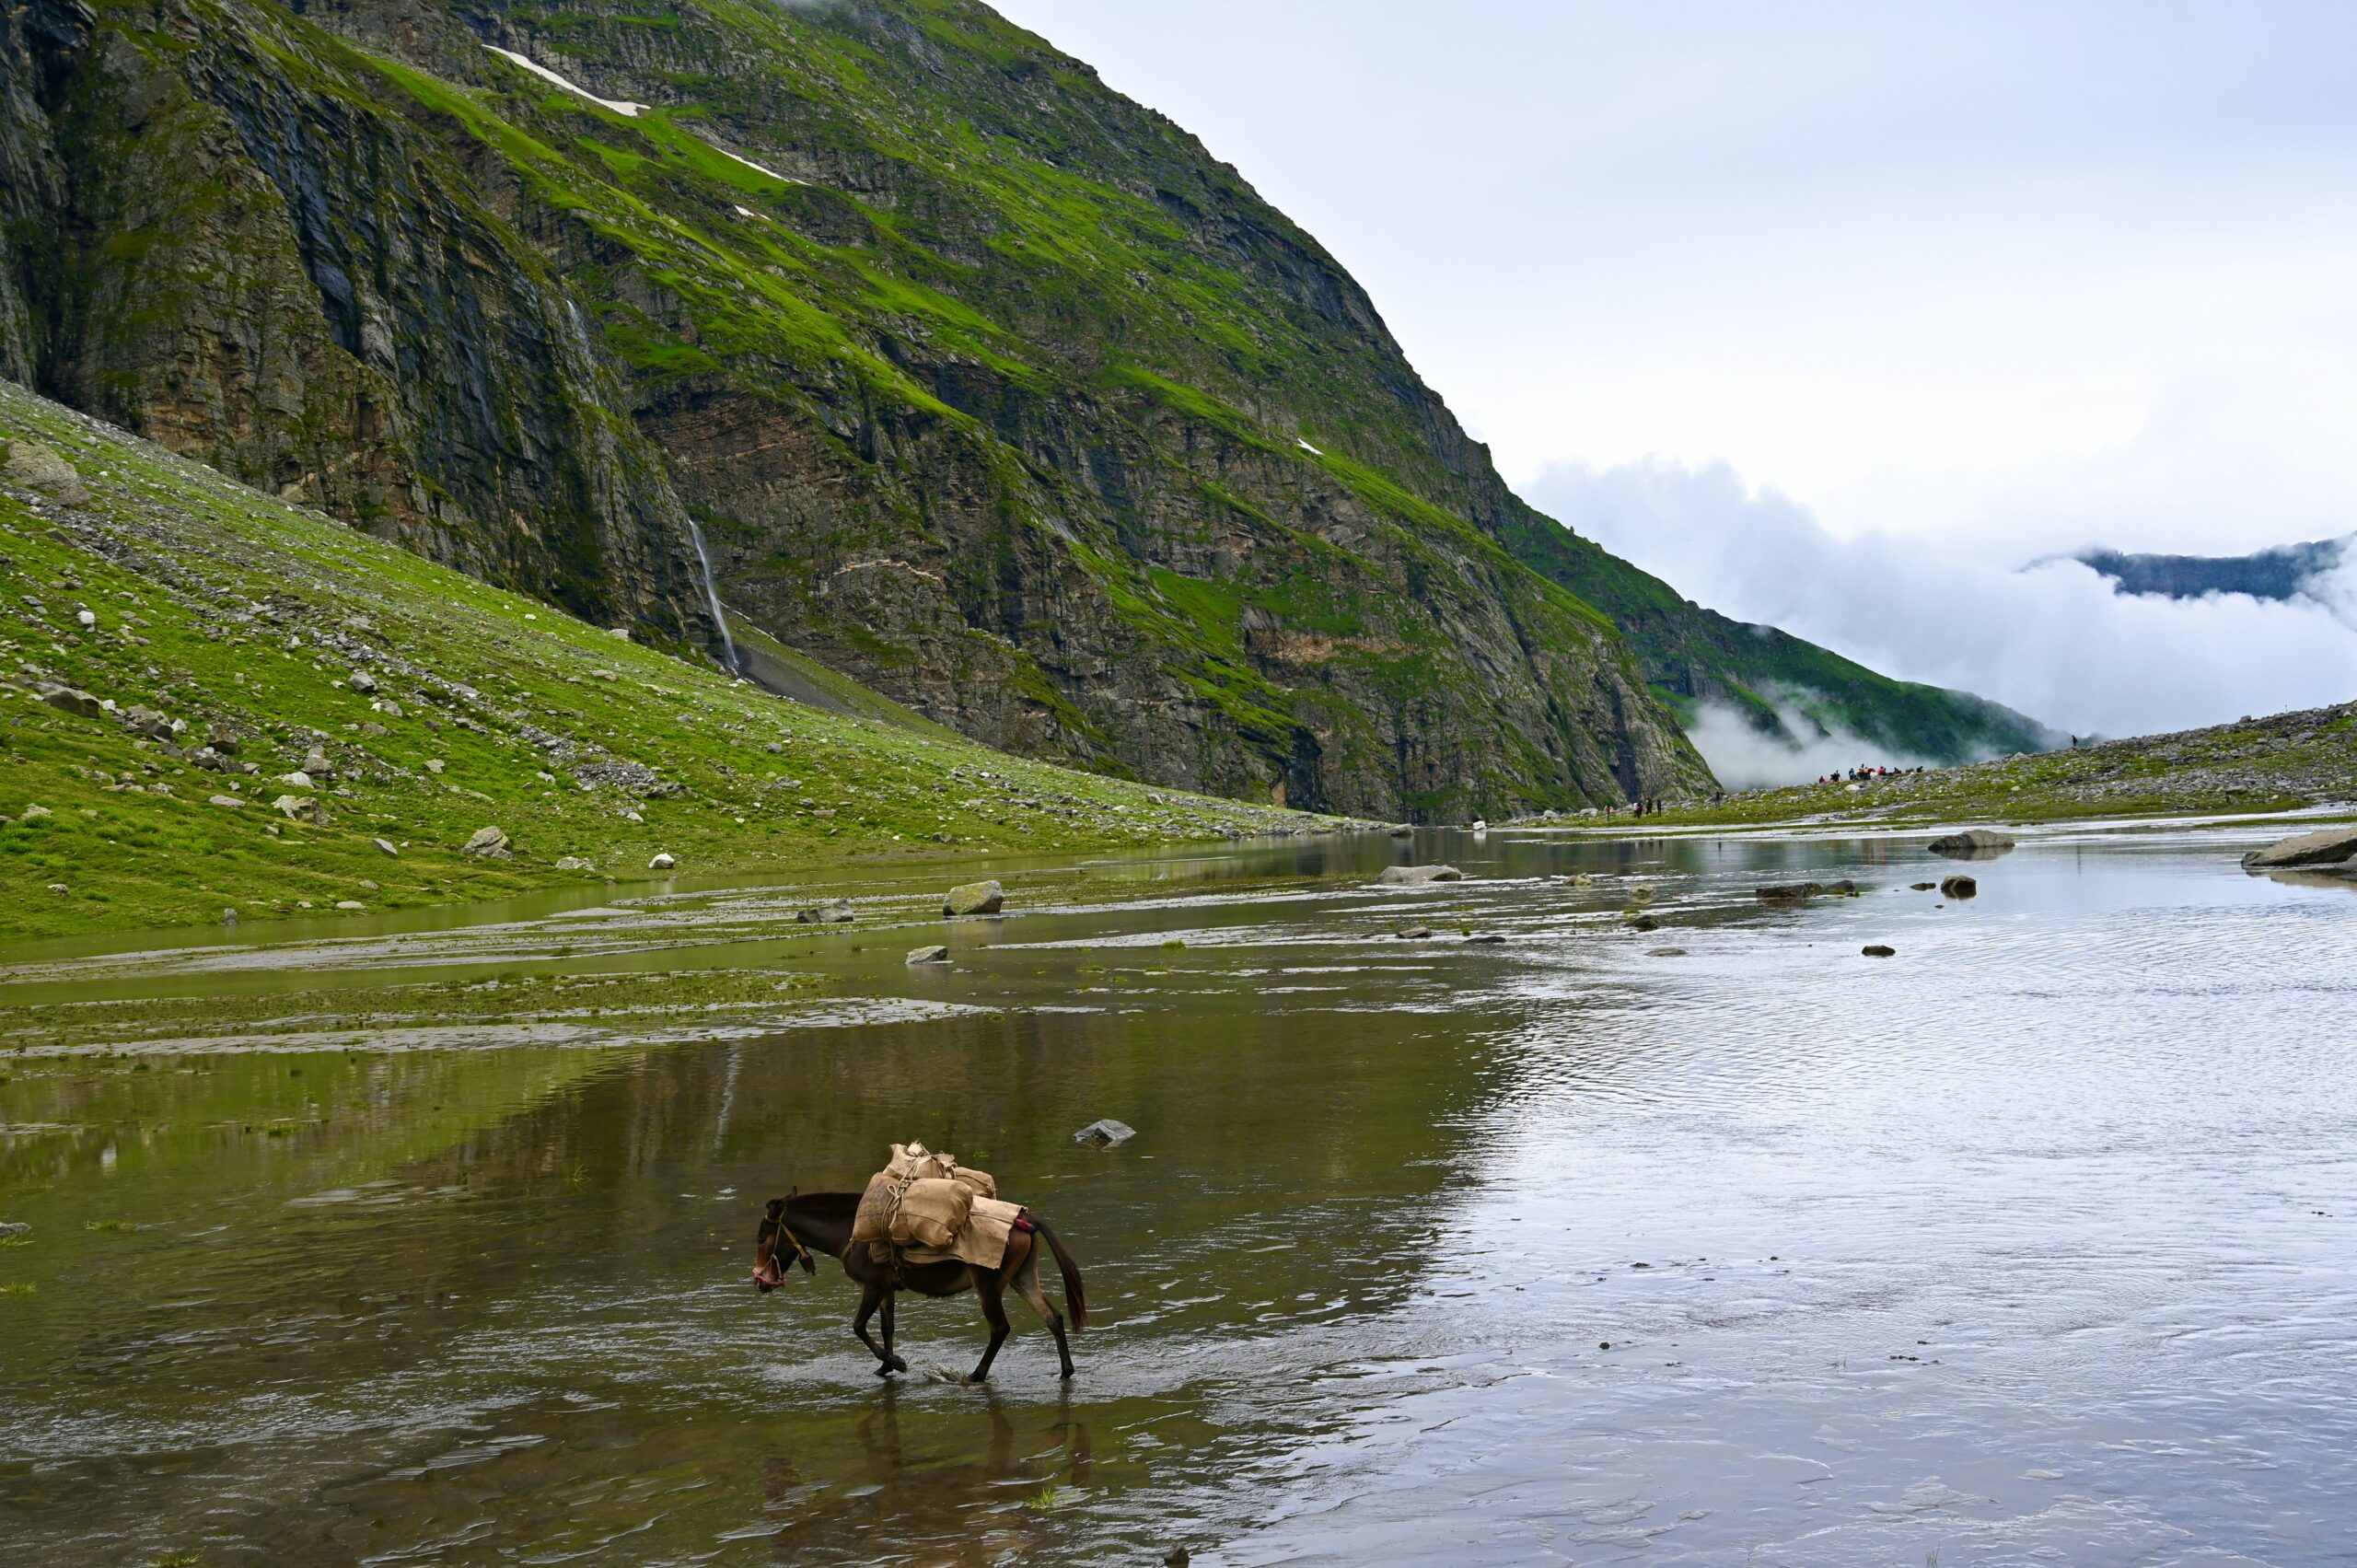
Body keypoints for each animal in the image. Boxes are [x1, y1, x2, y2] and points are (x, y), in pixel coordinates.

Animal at [752, 1189, 1088, 1383]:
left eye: (761, 1238)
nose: (760, 1281)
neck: (850, 1232)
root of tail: (1024, 1220)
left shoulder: (872, 1286)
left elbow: (859, 1327)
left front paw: (896, 1363)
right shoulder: (886, 1289)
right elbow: (887, 1327)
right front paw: (885, 1367)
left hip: (988, 1285)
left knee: (1000, 1328)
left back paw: (976, 1375)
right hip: (1022, 1278)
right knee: (1053, 1317)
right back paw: (1066, 1371)